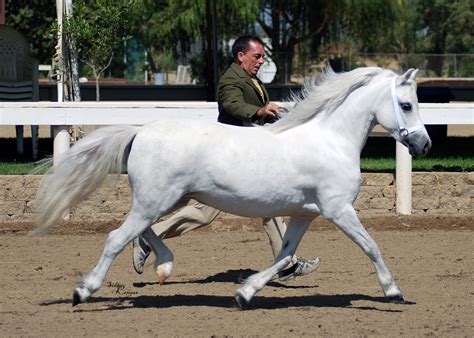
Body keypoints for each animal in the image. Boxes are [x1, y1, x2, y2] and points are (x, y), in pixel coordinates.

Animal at [34, 67, 430, 308]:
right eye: (406, 104)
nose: (423, 145)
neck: (330, 140)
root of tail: (139, 131)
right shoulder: (339, 210)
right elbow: (371, 246)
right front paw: (393, 291)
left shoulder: (304, 214)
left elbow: (284, 254)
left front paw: (245, 293)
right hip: (155, 200)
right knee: (117, 237)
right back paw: (84, 290)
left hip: (162, 200)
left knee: (142, 232)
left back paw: (161, 265)